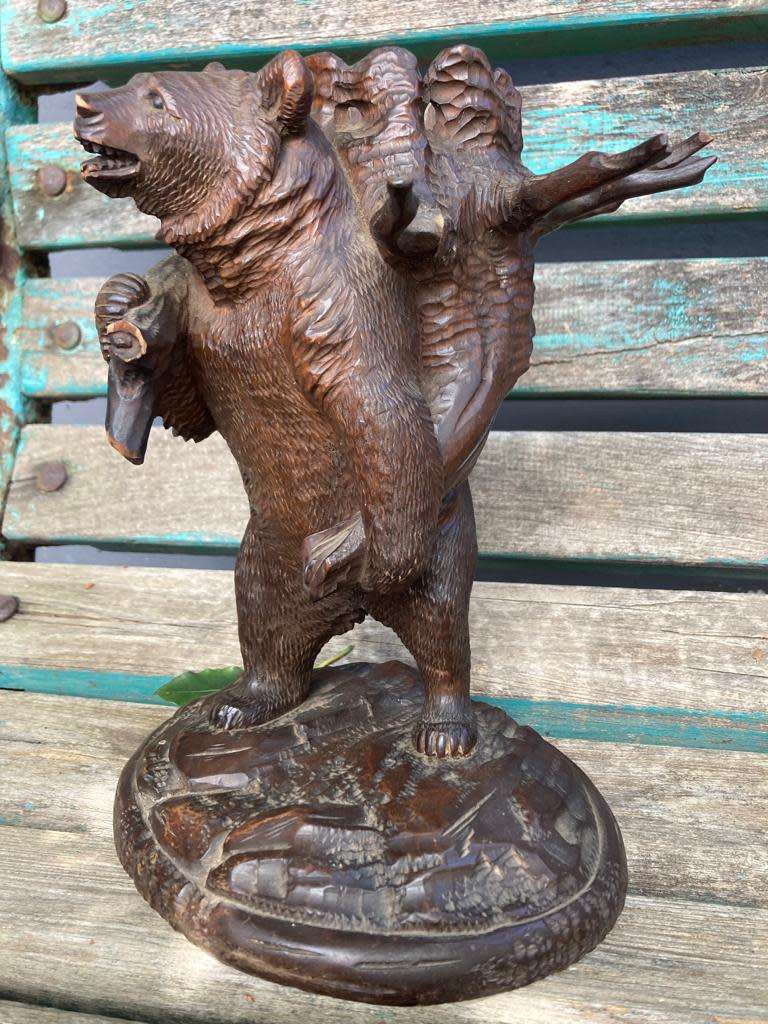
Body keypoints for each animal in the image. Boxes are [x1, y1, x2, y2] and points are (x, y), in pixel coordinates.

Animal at [75, 51, 478, 758]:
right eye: (133, 83)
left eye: (157, 98)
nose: (85, 104)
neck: (247, 264)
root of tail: (351, 610)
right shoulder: (205, 316)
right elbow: (185, 397)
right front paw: (119, 308)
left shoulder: (330, 301)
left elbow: (375, 403)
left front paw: (384, 558)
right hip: (269, 548)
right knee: (265, 622)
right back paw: (245, 702)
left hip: (442, 528)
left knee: (439, 624)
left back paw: (445, 727)